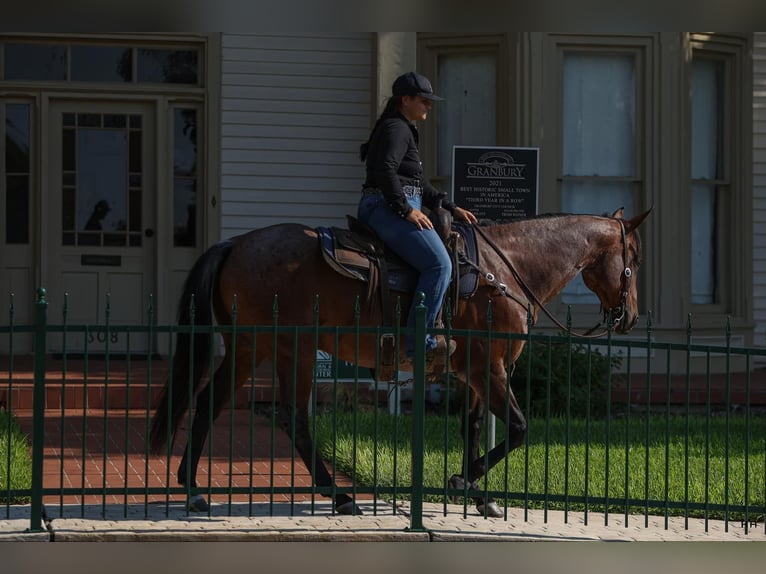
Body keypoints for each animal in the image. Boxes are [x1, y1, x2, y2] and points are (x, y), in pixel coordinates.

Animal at [148, 207, 651, 517]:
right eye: (635, 257)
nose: (630, 315)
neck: (503, 271)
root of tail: (233, 244)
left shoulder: (476, 373)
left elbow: (472, 427)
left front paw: (476, 492)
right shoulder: (490, 370)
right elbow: (519, 428)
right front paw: (464, 481)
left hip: (249, 347)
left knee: (209, 403)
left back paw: (192, 490)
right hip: (292, 348)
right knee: (294, 419)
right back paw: (339, 495)